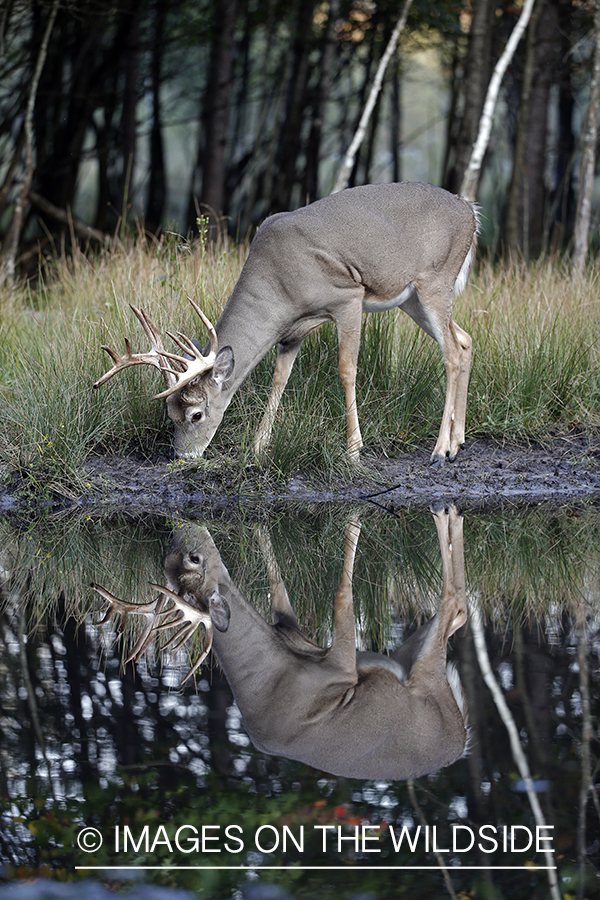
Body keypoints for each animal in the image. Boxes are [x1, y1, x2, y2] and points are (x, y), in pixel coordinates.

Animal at [94, 183, 478, 464]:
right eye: (169, 413)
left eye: (196, 415)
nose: (183, 456)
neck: (280, 284)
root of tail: (469, 209)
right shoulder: (291, 331)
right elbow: (279, 378)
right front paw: (259, 445)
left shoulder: (347, 297)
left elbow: (346, 369)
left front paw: (354, 448)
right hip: (412, 299)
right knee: (464, 340)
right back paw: (458, 442)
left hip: (435, 279)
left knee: (451, 353)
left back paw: (440, 450)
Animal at [95, 506, 468, 780]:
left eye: (189, 559)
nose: (182, 529)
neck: (271, 679)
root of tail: (461, 738)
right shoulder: (337, 669)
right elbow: (338, 596)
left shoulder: (294, 631)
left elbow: (280, 586)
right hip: (422, 673)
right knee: (455, 607)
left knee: (458, 611)